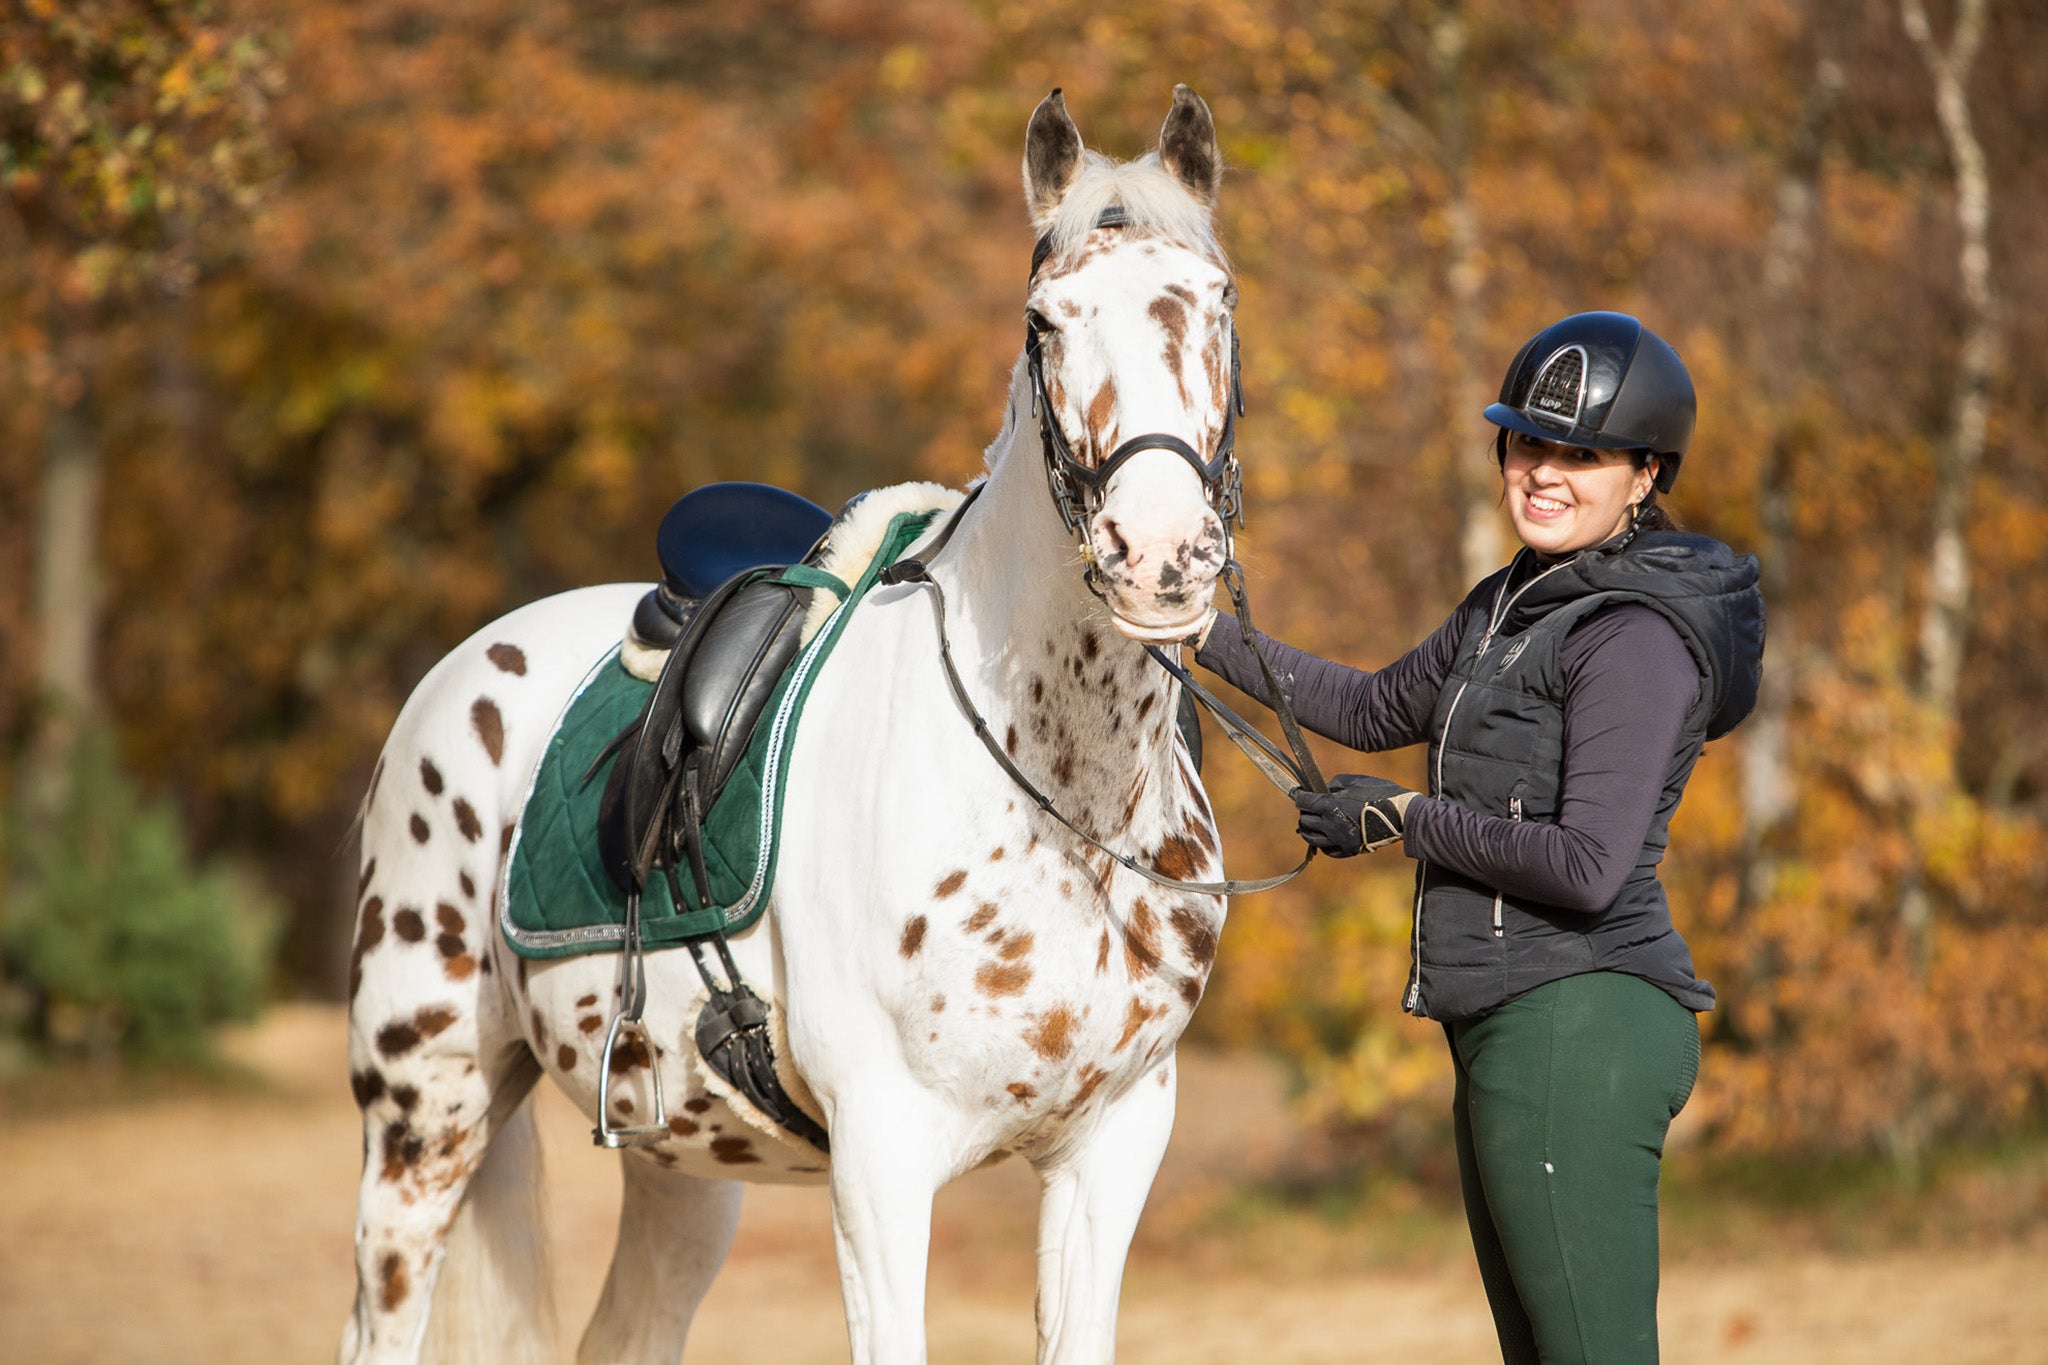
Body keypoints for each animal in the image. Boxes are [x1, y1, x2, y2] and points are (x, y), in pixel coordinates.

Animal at [340, 85, 1243, 1365]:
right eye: (1043, 320)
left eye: (1215, 300)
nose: (1158, 555)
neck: (1061, 806)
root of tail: (466, 664)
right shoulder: (880, 1164)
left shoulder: (1109, 1150)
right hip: (423, 1123)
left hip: (677, 1165)